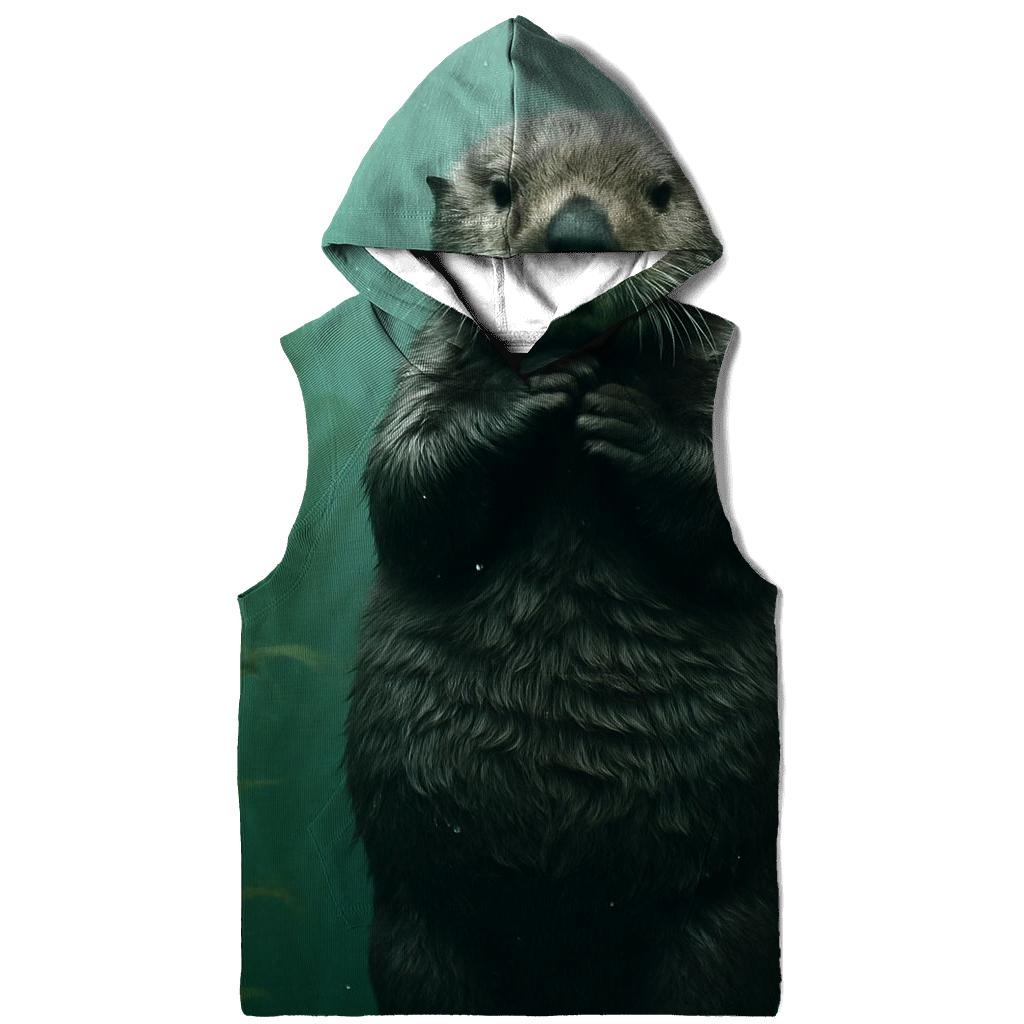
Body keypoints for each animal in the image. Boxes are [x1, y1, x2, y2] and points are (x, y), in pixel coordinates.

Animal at [343, 112, 780, 1014]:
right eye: (501, 188)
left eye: (662, 192)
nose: (579, 232)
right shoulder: (427, 373)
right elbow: (409, 493)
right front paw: (531, 396)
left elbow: (718, 532)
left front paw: (626, 421)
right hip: (418, 931)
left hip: (725, 918)